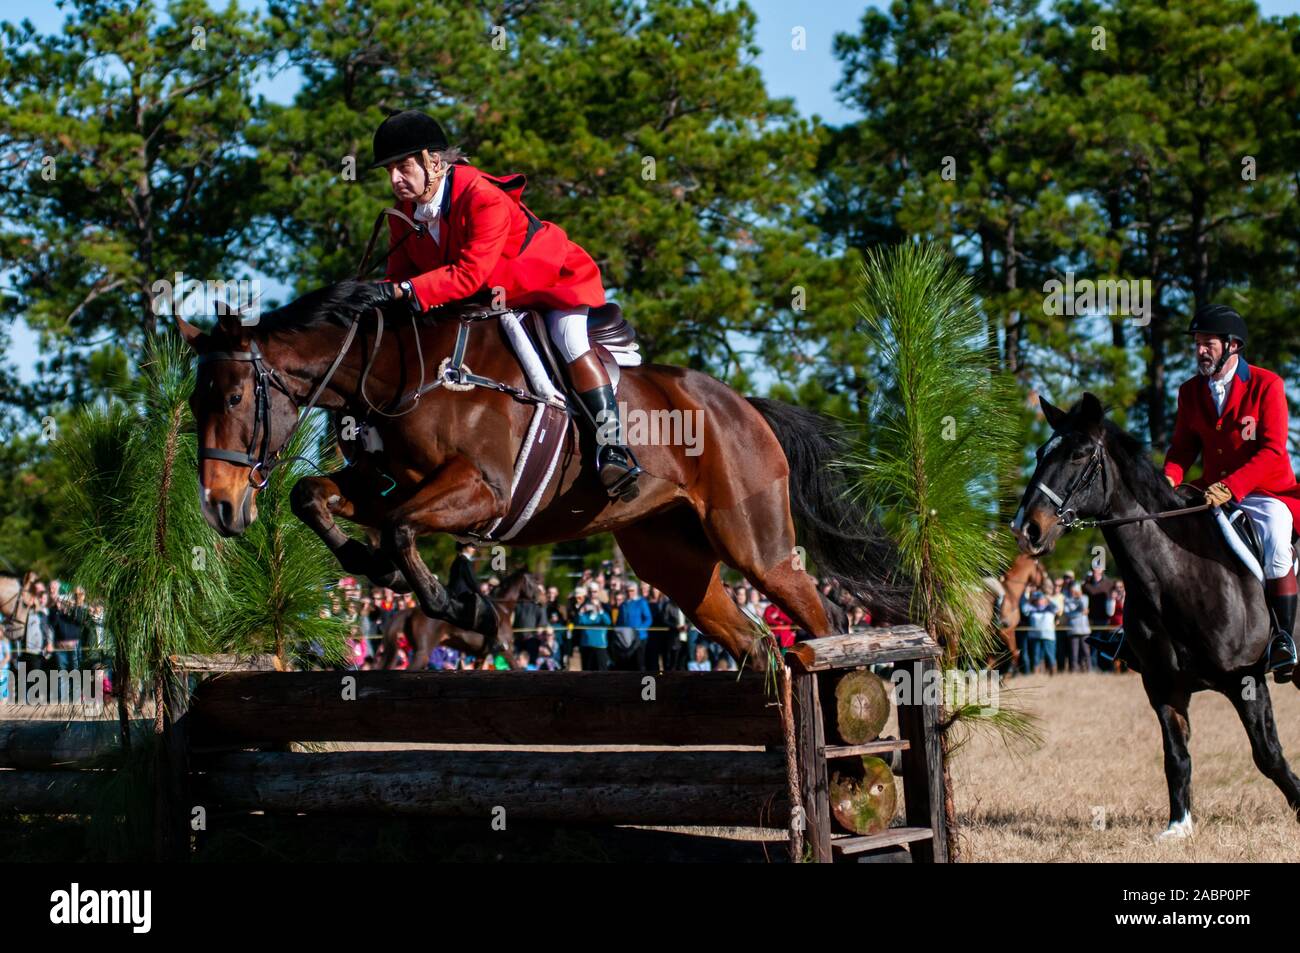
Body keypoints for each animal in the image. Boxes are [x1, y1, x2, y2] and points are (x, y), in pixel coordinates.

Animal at [379, 564, 538, 670]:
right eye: (535, 583)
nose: (540, 599)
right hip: (422, 652)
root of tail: (410, 611)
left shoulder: (481, 655)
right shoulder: (506, 650)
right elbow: (517, 667)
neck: (503, 609)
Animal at [1013, 390, 1300, 837]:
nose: (1027, 529)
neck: (1176, 575)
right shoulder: (1163, 687)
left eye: (1079, 454)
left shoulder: (1248, 680)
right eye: (1042, 452)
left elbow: (1268, 754)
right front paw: (1178, 826)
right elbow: (1175, 757)